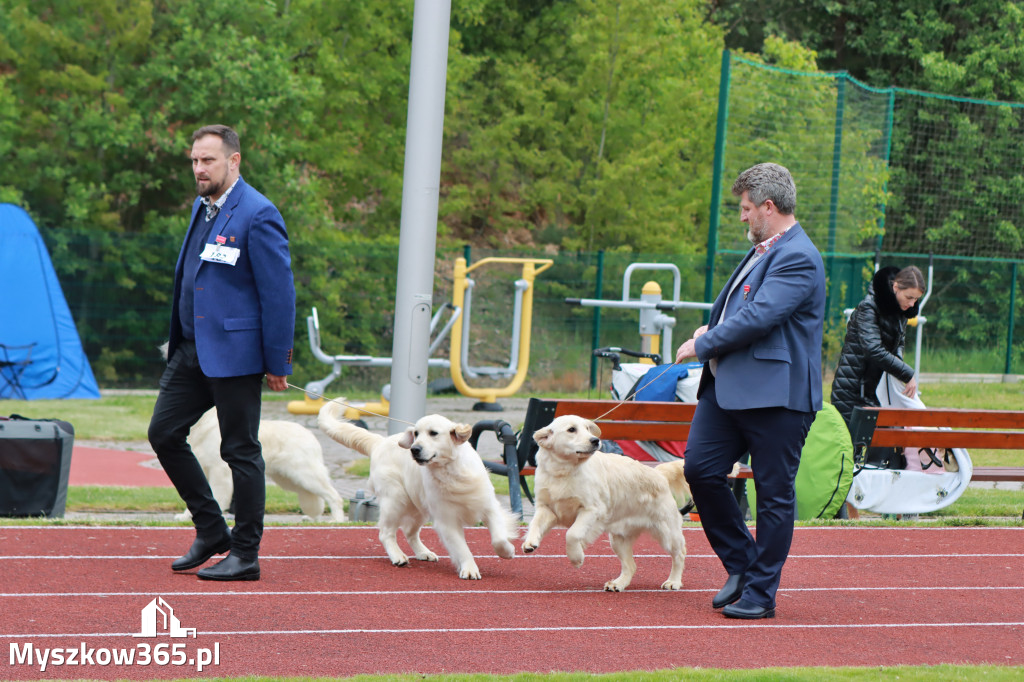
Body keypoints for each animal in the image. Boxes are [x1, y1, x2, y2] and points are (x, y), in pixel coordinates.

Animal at [176, 405, 348, 522]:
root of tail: (309, 434)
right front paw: (186, 517)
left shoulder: (219, 471)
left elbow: (216, 495)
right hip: (289, 480)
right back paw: (313, 520)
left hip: (305, 476)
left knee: (333, 496)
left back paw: (336, 520)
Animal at [317, 399, 520, 577]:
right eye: (415, 433)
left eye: (433, 433)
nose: (414, 449)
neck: (451, 471)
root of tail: (380, 442)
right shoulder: (447, 520)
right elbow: (462, 548)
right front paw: (469, 569)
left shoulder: (489, 506)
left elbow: (499, 538)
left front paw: (507, 551)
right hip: (395, 499)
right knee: (386, 532)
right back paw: (397, 556)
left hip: (418, 507)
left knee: (409, 532)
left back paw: (424, 552)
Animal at [524, 411, 692, 585]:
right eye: (571, 429)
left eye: (587, 428)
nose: (595, 440)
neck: (563, 471)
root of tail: (659, 473)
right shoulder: (546, 507)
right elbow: (535, 523)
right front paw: (530, 542)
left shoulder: (591, 510)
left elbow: (572, 534)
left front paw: (576, 558)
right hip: (619, 539)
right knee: (631, 566)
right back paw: (618, 584)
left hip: (667, 532)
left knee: (680, 553)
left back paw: (673, 582)